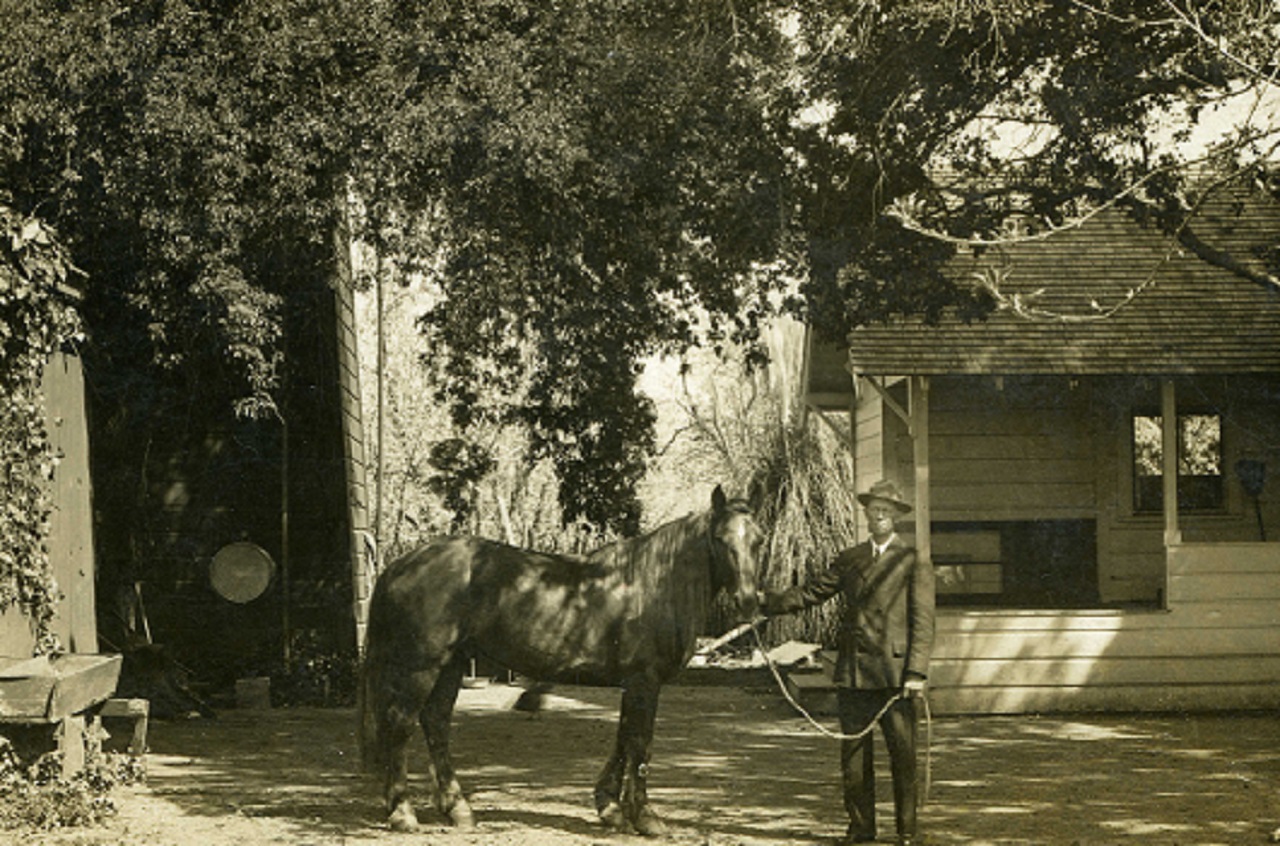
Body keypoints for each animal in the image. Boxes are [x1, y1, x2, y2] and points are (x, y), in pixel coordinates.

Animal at [355, 483, 762, 834]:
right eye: (720, 539)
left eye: (757, 540)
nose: (747, 601)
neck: (649, 587)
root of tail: (401, 564)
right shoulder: (645, 681)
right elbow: (639, 743)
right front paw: (646, 818)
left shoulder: (632, 683)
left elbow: (623, 738)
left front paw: (610, 808)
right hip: (422, 665)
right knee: (401, 723)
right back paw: (403, 813)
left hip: (452, 665)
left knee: (436, 723)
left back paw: (458, 810)